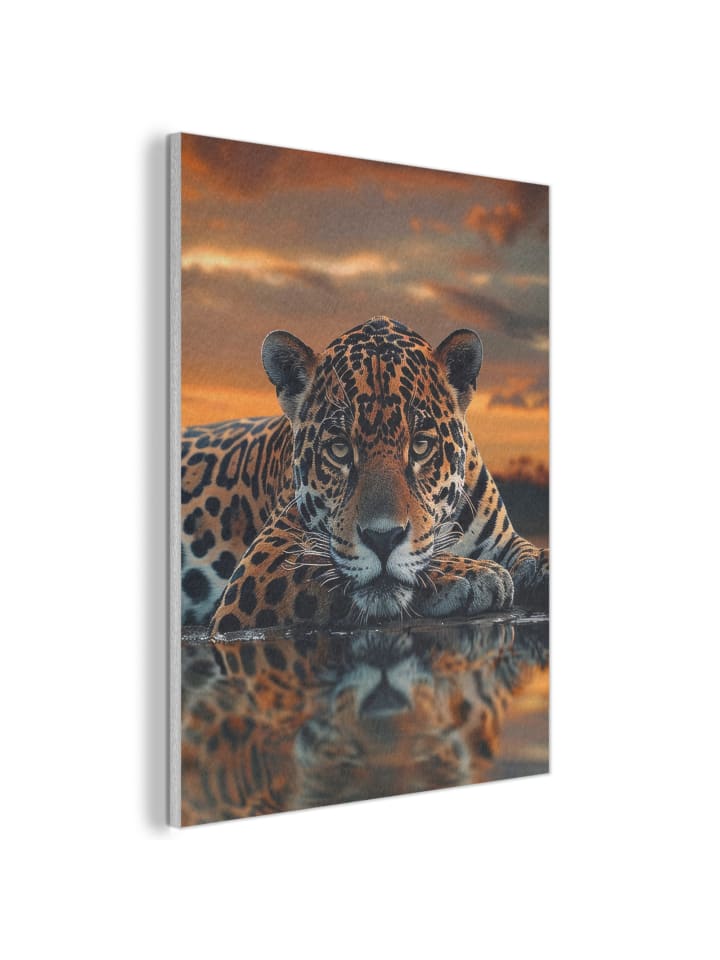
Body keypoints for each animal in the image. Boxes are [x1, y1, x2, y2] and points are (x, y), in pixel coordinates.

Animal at [180, 316, 548, 634]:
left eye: (420, 446)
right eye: (340, 449)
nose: (382, 538)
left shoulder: (504, 540)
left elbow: (527, 552)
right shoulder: (261, 564)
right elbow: (323, 566)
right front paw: (474, 573)